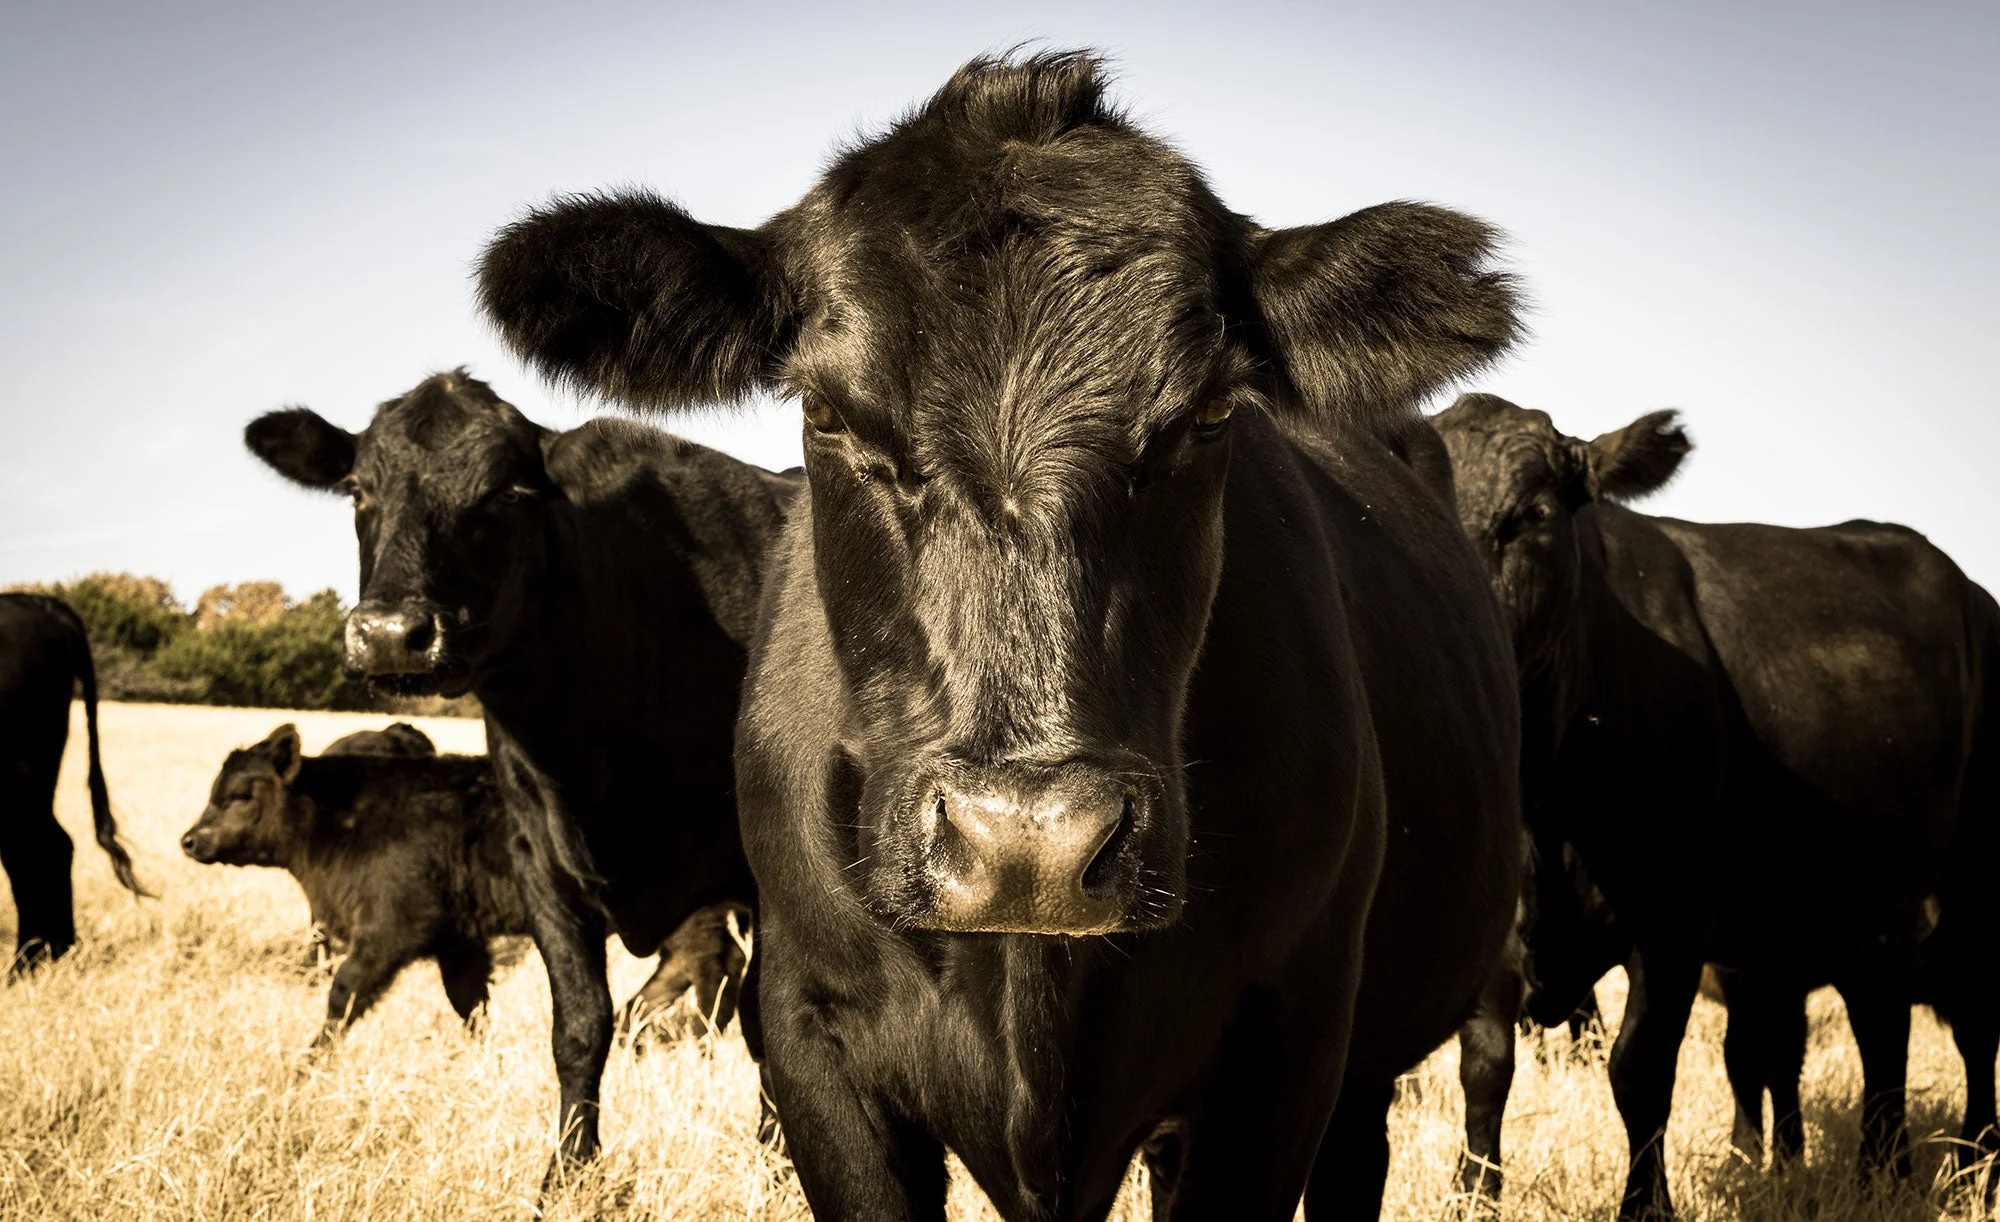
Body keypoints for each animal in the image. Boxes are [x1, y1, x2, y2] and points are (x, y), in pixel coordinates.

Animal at [243, 370, 797, 1187]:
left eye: (506, 492)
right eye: (357, 490)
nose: (390, 635)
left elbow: (769, 1022)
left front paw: (782, 1161)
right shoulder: (541, 863)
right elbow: (581, 1025)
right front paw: (566, 1175)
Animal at [1433, 391, 1999, 1219]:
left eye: (1533, 514)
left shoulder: (1674, 918)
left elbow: (1640, 1069)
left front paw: (1648, 1205)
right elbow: (1485, 1066)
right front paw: (1472, 1193)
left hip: (1970, 896)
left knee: (1971, 1029)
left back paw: (1971, 1166)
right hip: (1863, 909)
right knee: (1880, 1023)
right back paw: (1883, 1171)